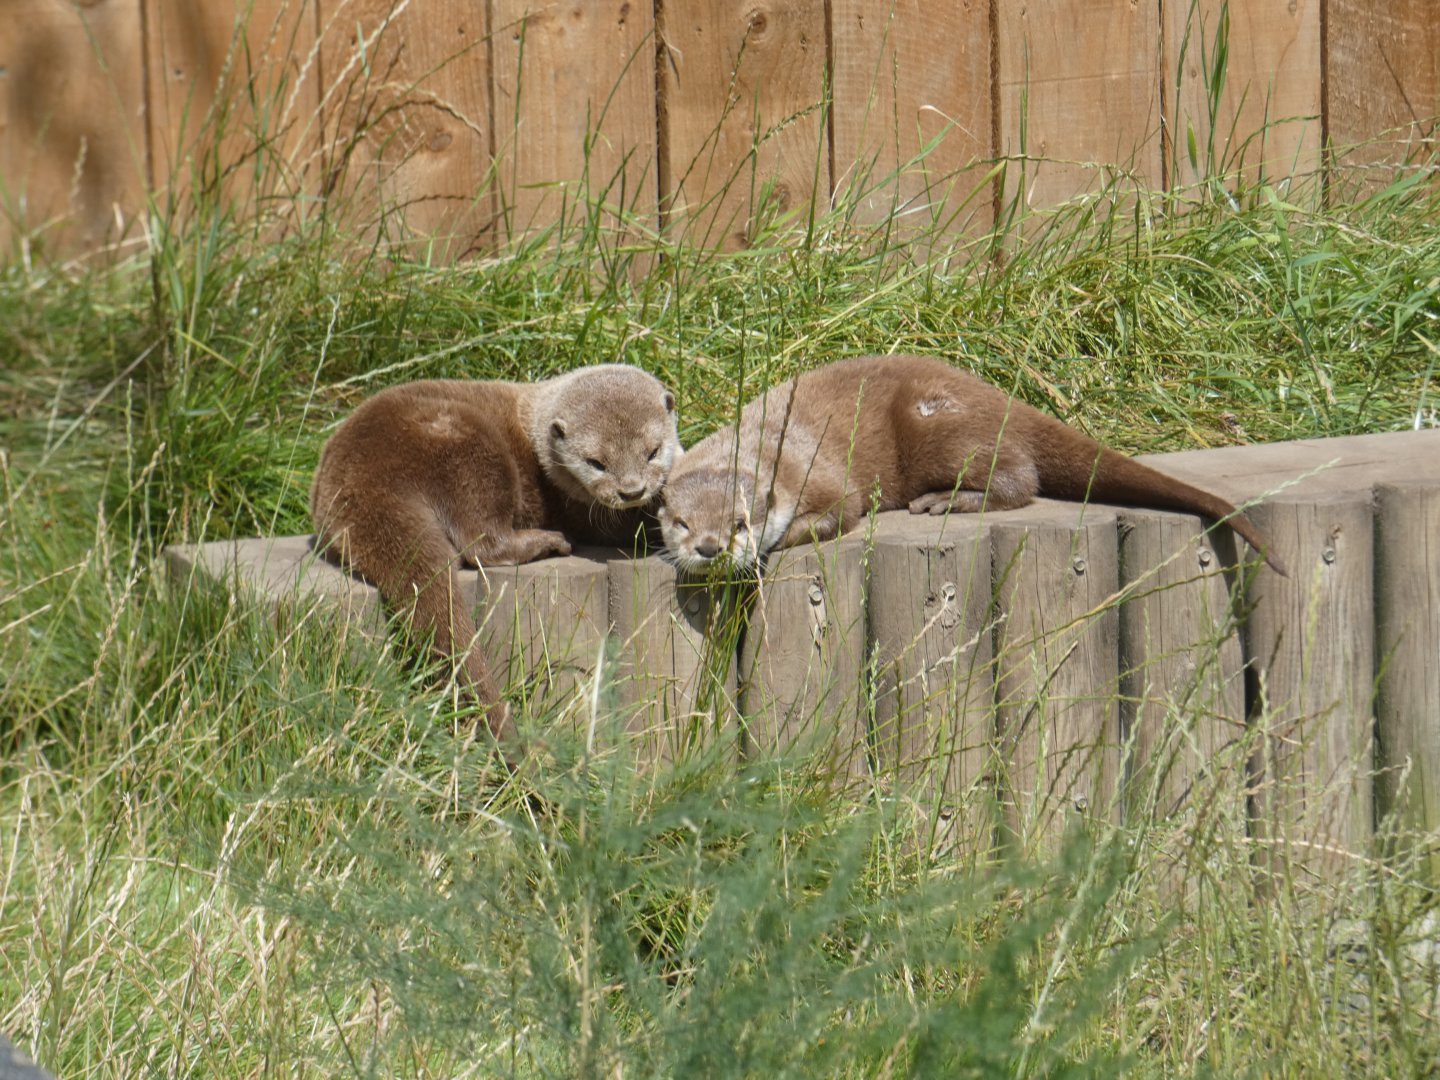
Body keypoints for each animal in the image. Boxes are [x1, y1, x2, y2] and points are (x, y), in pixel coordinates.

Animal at [311, 365, 681, 741]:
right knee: (481, 543)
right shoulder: (580, 509)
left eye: (652, 451)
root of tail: (363, 479)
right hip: (470, 447)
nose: (631, 490)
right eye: (596, 463)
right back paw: (552, 541)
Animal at [657, 354, 1283, 575]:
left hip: (939, 427)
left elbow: (844, 513)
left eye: (742, 522)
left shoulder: (821, 476)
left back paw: (944, 500)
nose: (709, 548)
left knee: (1021, 479)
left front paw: (779, 544)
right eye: (682, 524)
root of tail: (1001, 397)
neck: (762, 443)